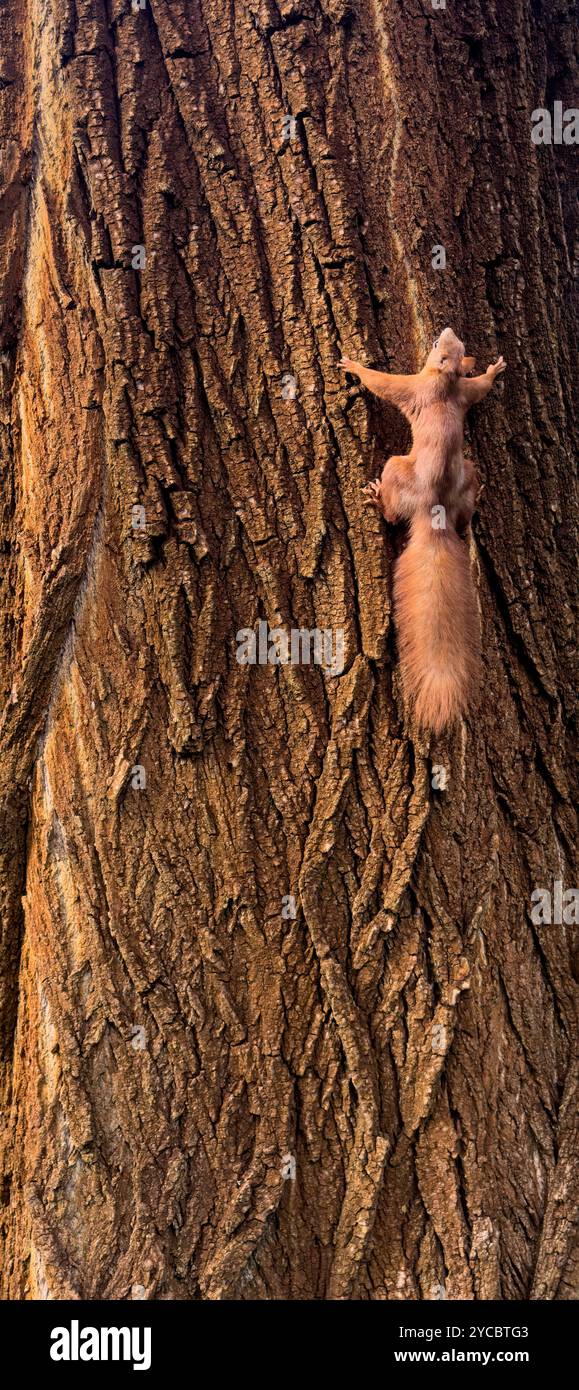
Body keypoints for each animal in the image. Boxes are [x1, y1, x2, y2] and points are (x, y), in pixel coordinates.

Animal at [340, 328, 506, 734]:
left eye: (436, 347)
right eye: (454, 345)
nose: (444, 331)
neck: (445, 383)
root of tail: (436, 513)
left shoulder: (415, 388)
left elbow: (383, 383)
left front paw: (353, 366)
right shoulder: (464, 392)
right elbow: (480, 388)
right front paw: (493, 370)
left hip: (396, 467)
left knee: (391, 510)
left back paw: (376, 499)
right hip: (468, 473)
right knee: (465, 513)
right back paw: (477, 502)